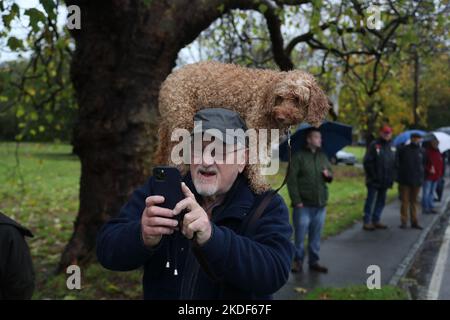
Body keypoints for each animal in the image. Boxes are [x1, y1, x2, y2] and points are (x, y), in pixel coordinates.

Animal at [153, 61, 328, 194]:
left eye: (297, 99)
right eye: (280, 97)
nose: (281, 116)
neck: (267, 94)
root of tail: (168, 81)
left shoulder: (267, 138)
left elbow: (261, 160)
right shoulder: (256, 129)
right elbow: (255, 159)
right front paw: (259, 184)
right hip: (182, 121)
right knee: (175, 160)